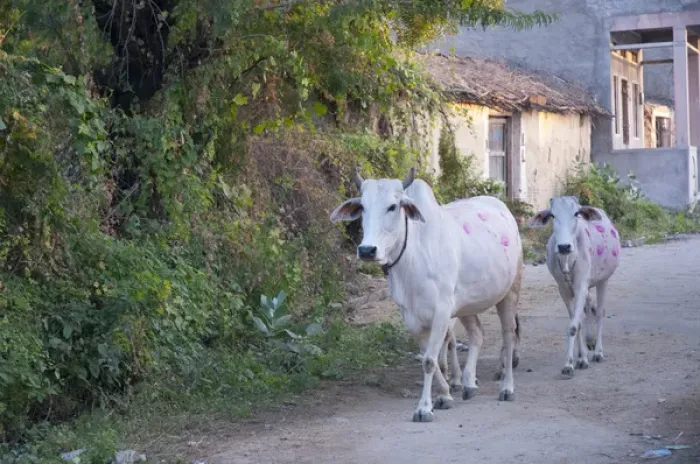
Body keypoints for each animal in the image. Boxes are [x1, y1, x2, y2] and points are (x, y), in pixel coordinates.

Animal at [330, 168, 523, 422]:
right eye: (362, 206)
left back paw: (507, 387)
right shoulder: (412, 318)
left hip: (510, 291)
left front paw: (423, 408)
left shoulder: (441, 312)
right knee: (477, 334)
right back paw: (469, 384)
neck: (413, 257)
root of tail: (503, 208)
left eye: (393, 206)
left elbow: (431, 361)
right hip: (465, 305)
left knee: (509, 335)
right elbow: (427, 358)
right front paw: (444, 396)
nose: (367, 250)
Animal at [529, 196, 620, 377]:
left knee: (600, 312)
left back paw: (598, 351)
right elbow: (576, 324)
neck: (567, 259)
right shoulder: (564, 290)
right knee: (588, 309)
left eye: (576, 213)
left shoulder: (581, 287)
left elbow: (573, 325)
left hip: (603, 281)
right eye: (552, 215)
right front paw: (579, 359)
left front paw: (570, 364)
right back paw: (588, 342)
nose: (564, 246)